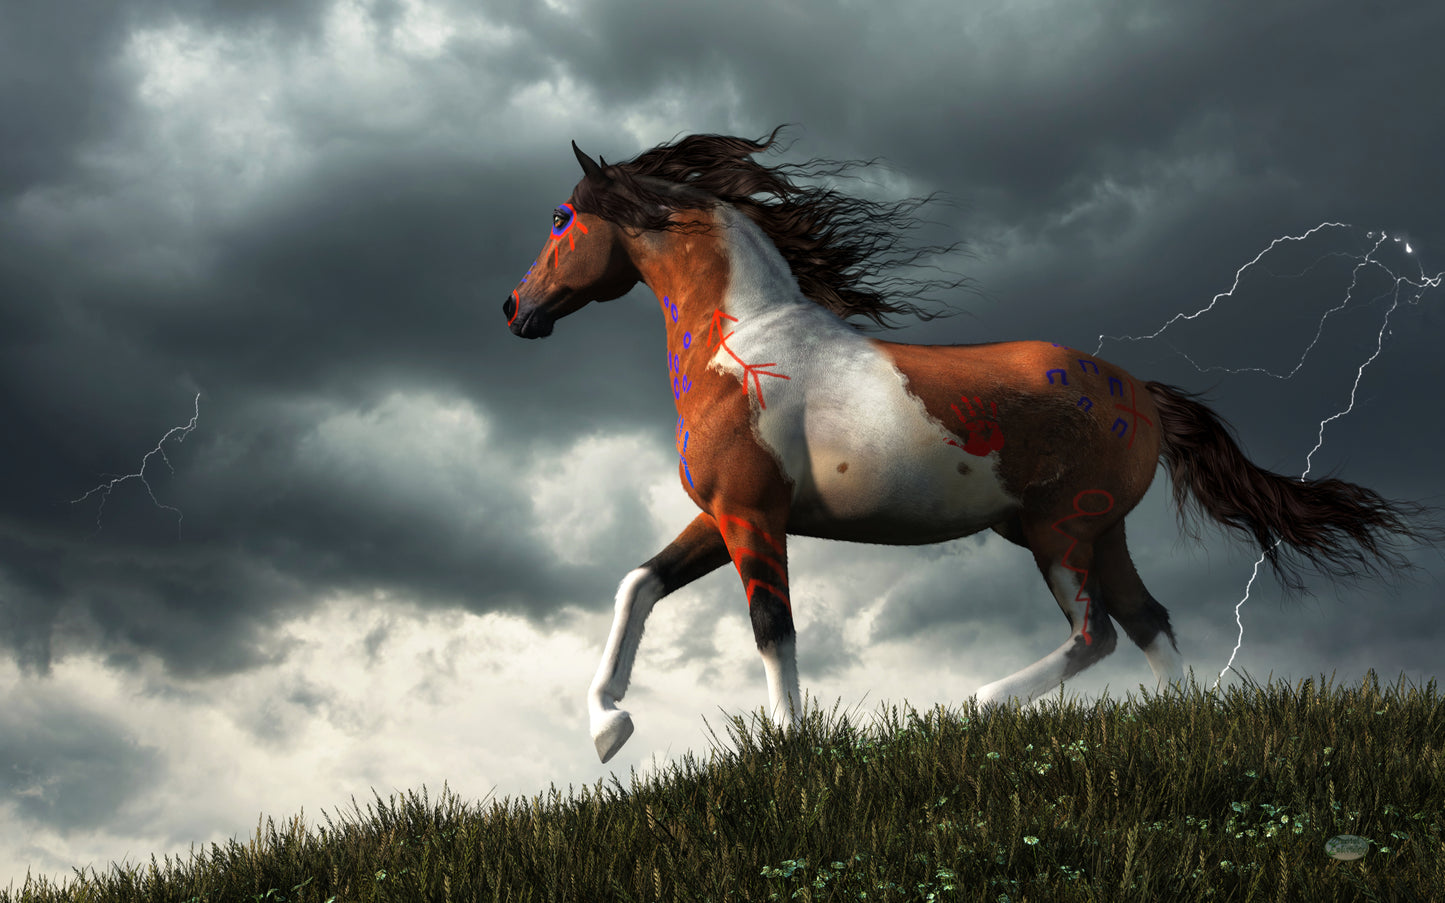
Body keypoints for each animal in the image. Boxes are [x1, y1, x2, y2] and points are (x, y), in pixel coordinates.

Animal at [502, 128, 1440, 764]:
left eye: (559, 216)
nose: (515, 309)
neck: (741, 345)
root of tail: (1139, 391)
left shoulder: (752, 516)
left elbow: (772, 627)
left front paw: (791, 752)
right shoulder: (724, 514)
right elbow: (638, 583)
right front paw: (608, 728)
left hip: (1061, 529)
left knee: (1096, 632)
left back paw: (976, 702)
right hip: (1090, 530)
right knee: (1146, 619)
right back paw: (1191, 728)